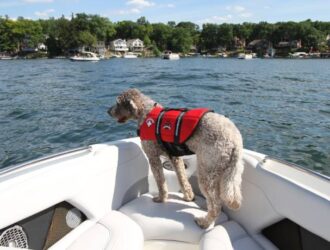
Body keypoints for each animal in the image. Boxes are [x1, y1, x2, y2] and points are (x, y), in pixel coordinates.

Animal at [107, 88, 244, 229]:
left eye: (117, 103)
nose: (108, 111)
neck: (146, 111)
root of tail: (235, 141)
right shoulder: (174, 157)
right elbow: (182, 179)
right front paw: (188, 197)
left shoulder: (153, 156)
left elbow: (160, 181)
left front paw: (161, 199)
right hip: (230, 171)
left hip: (207, 171)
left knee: (216, 205)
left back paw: (204, 222)